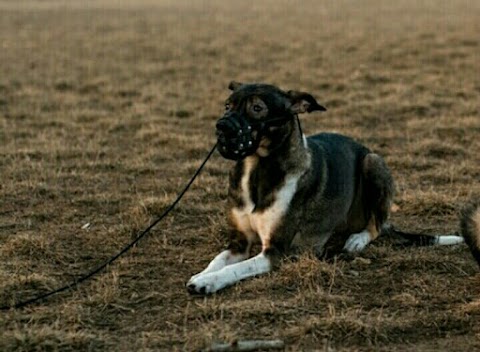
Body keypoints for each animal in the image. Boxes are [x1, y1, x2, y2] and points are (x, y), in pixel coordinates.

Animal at [186, 82, 478, 294]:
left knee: (376, 225)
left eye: (257, 108)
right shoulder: (239, 242)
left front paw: (209, 282)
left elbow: (233, 270)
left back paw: (357, 239)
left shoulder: (275, 251)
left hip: (373, 163)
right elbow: (218, 261)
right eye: (227, 105)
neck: (257, 168)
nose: (221, 126)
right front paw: (202, 275)